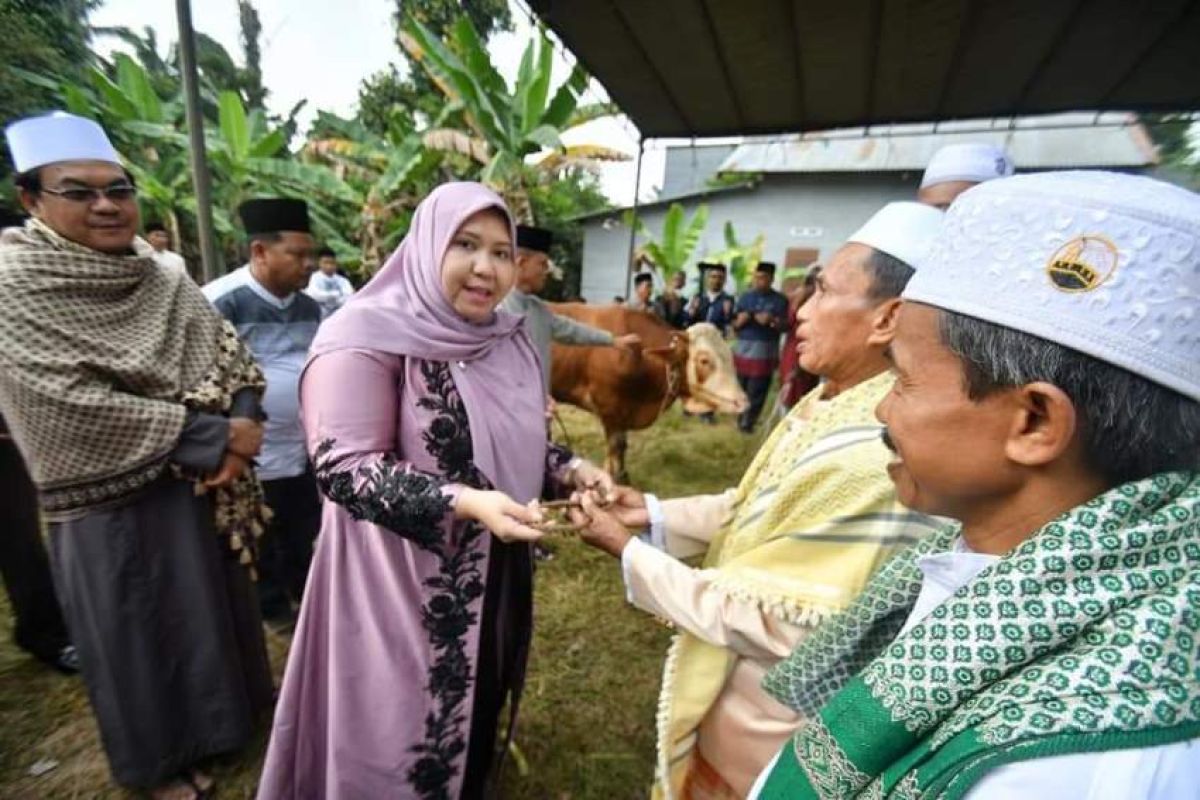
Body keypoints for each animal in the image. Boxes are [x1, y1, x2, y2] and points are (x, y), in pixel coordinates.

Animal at [549, 304, 744, 482]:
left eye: (730, 355)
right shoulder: (610, 410)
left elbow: (622, 447)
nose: (742, 400)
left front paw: (623, 477)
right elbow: (615, 448)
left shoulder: (623, 412)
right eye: (704, 360)